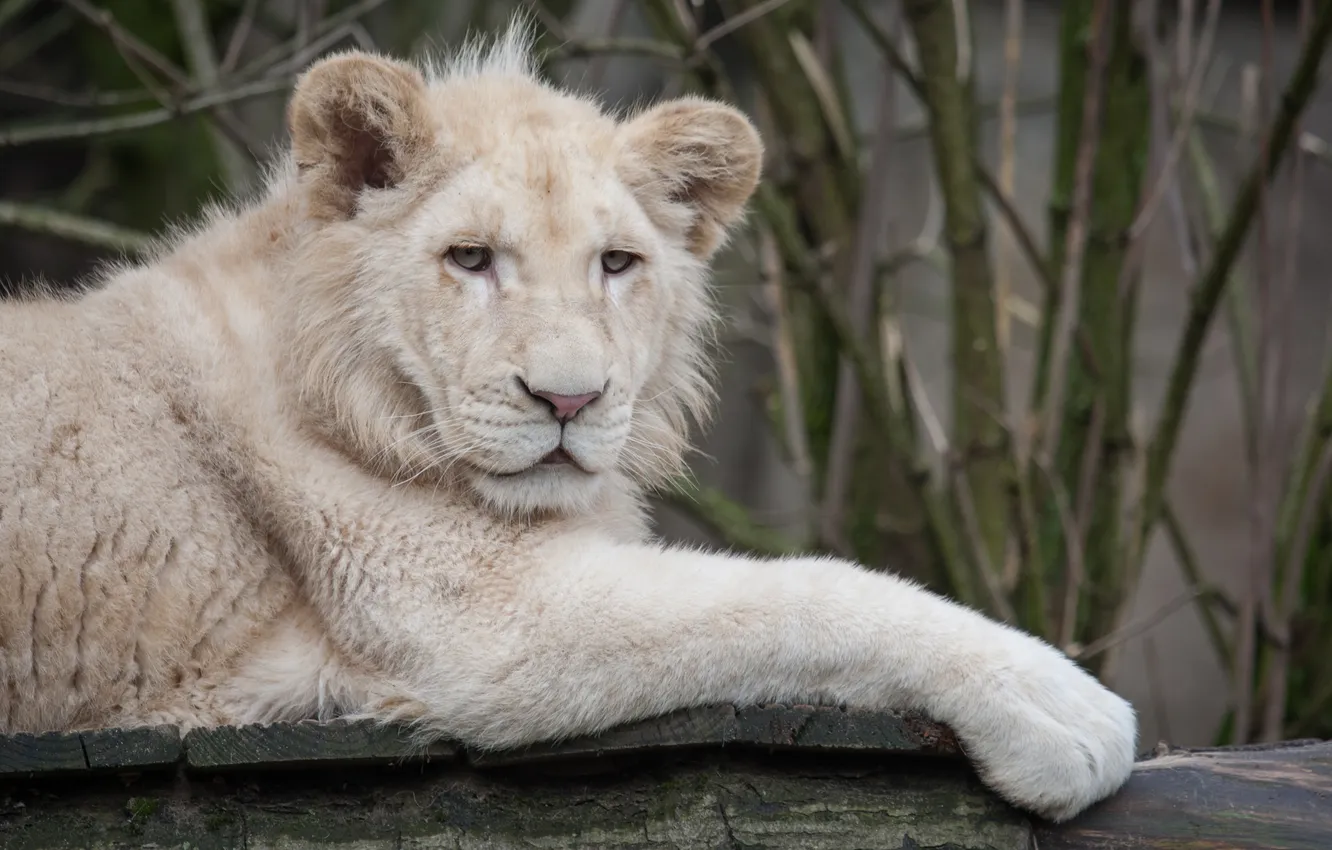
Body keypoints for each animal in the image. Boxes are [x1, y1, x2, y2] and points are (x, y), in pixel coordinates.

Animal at [0, 25, 1135, 822]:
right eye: (469, 258)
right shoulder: (476, 626)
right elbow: (808, 594)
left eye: (616, 263)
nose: (570, 401)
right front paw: (1064, 710)